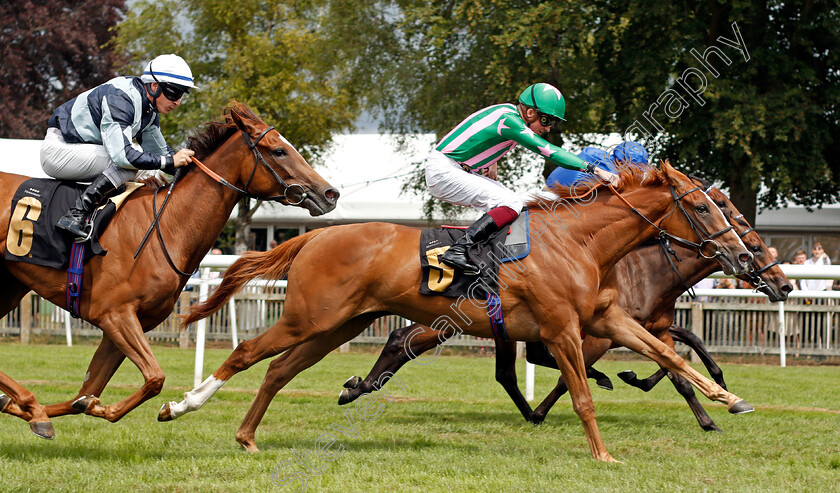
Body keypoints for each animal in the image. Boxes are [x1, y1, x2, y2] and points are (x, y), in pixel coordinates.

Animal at [0, 100, 338, 438]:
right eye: (279, 150)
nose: (329, 193)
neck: (167, 227)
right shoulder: (114, 314)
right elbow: (154, 377)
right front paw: (38, 409)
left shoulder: (125, 323)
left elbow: (86, 393)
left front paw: (51, 408)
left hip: (12, 286)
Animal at [338, 184, 792, 430]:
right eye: (716, 210)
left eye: (750, 237)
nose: (784, 285)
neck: (645, 268)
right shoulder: (592, 331)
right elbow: (569, 375)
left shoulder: (649, 324)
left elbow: (680, 359)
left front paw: (710, 406)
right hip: (460, 320)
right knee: (412, 342)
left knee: (432, 349)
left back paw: (361, 386)